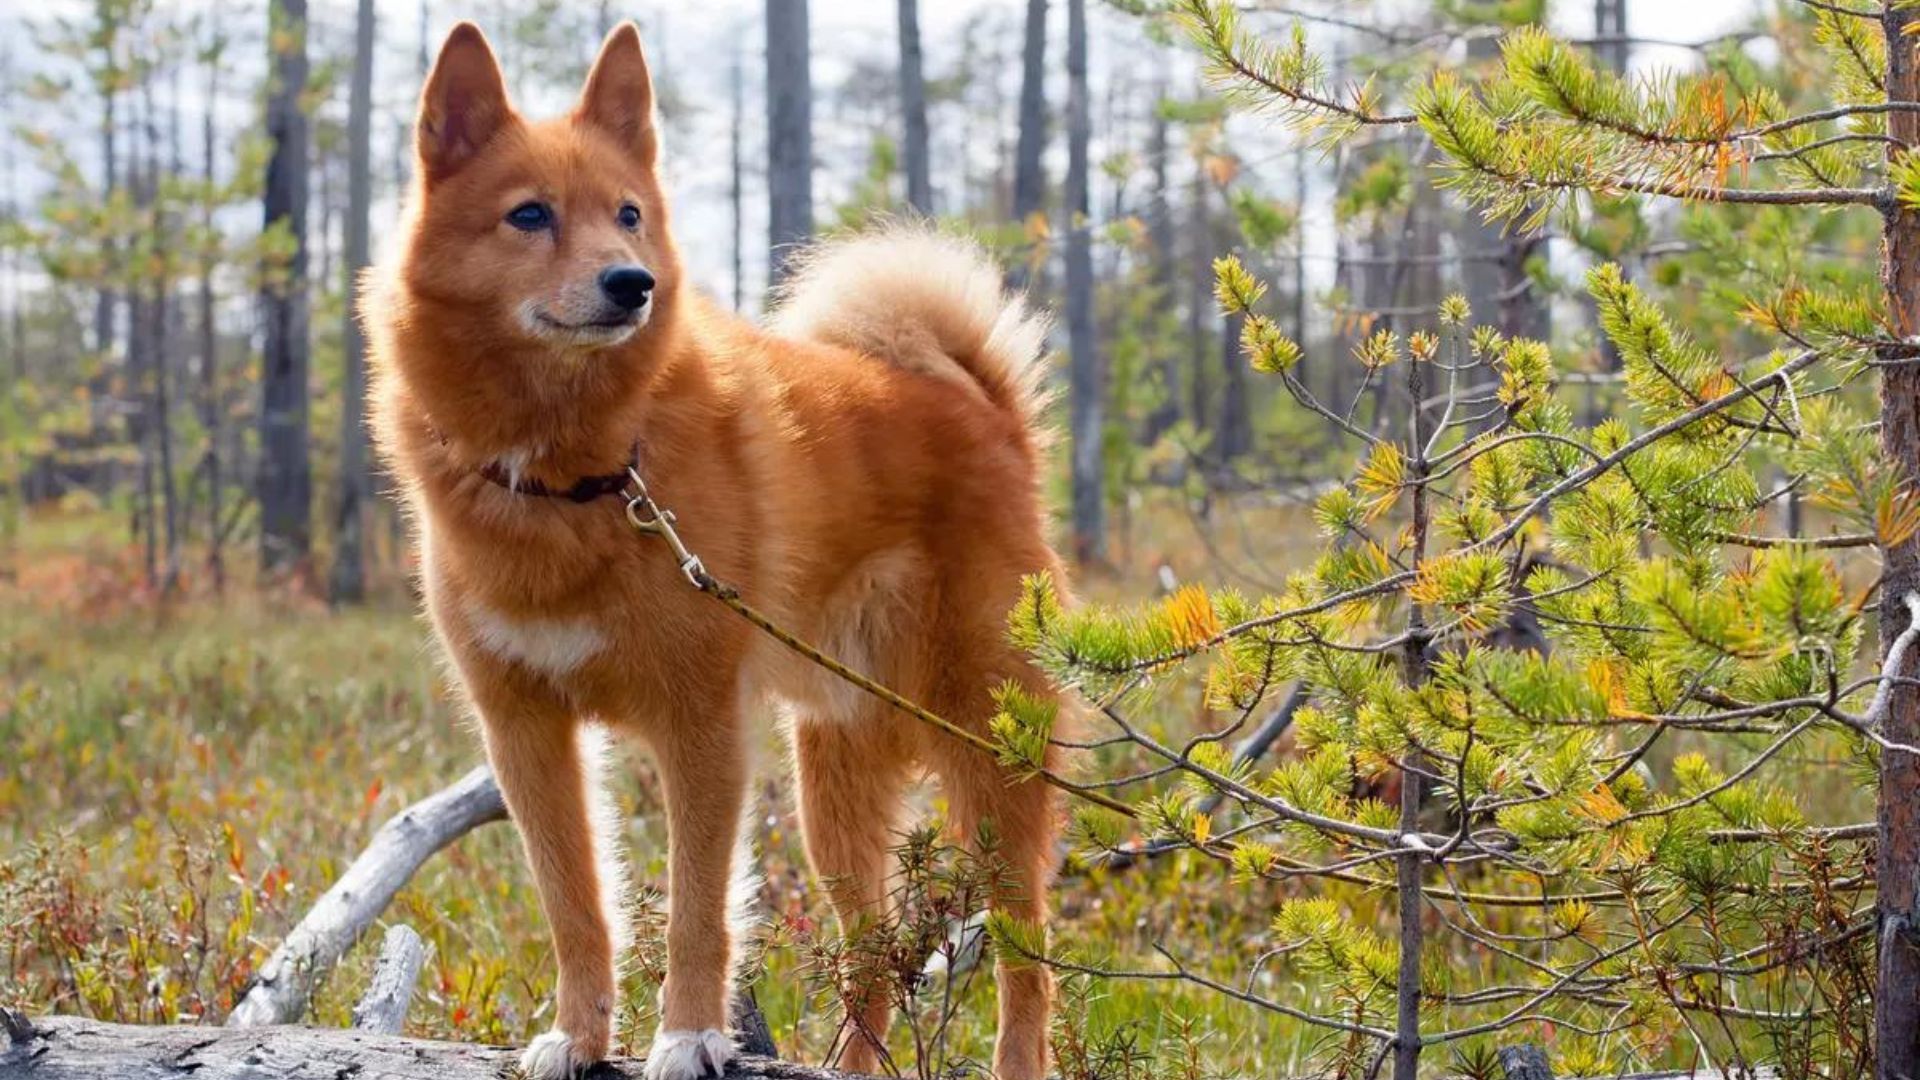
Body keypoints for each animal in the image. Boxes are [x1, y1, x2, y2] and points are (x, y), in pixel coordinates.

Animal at [366, 23, 1075, 1076]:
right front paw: (578, 1035)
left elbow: (699, 909)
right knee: (872, 954)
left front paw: (690, 1034)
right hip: (835, 790)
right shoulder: (526, 734)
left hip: (986, 754)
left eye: (628, 215)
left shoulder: (698, 726)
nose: (634, 282)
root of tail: (986, 413)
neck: (585, 473)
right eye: (529, 215)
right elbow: (577, 908)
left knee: (1028, 955)